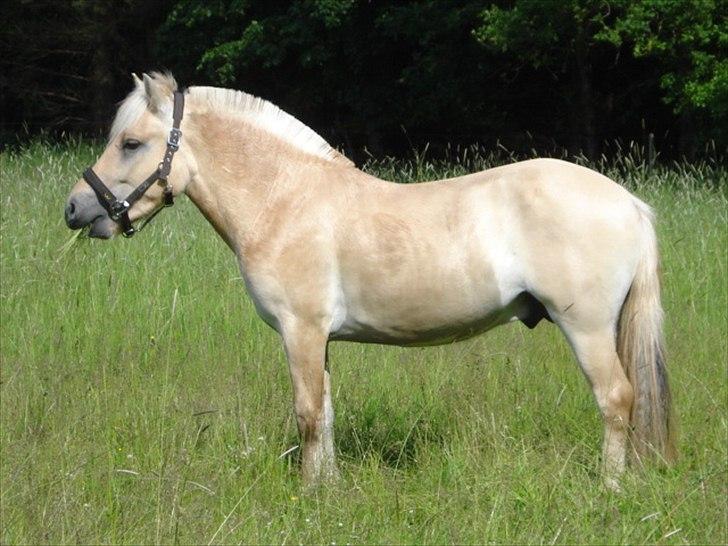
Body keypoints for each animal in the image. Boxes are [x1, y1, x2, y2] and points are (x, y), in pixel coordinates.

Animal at [65, 71, 672, 484]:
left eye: (131, 143)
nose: (75, 208)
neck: (285, 199)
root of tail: (630, 203)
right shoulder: (319, 340)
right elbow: (327, 413)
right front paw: (329, 489)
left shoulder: (301, 331)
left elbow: (309, 414)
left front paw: (309, 496)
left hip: (587, 328)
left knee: (617, 398)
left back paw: (610, 488)